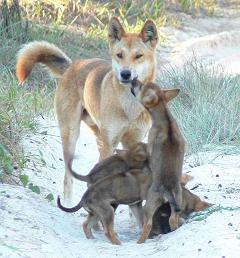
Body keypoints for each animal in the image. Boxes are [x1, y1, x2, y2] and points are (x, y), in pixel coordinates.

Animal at [15, 17, 158, 205]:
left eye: (138, 56)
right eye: (119, 55)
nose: (125, 74)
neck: (129, 104)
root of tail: (72, 66)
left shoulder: (133, 142)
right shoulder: (109, 144)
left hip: (99, 137)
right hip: (72, 134)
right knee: (68, 176)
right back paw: (69, 203)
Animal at [132, 79, 185, 243]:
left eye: (140, 86)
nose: (134, 79)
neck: (165, 118)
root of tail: (166, 189)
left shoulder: (150, 143)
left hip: (149, 204)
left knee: (147, 224)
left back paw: (140, 242)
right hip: (178, 199)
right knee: (173, 220)